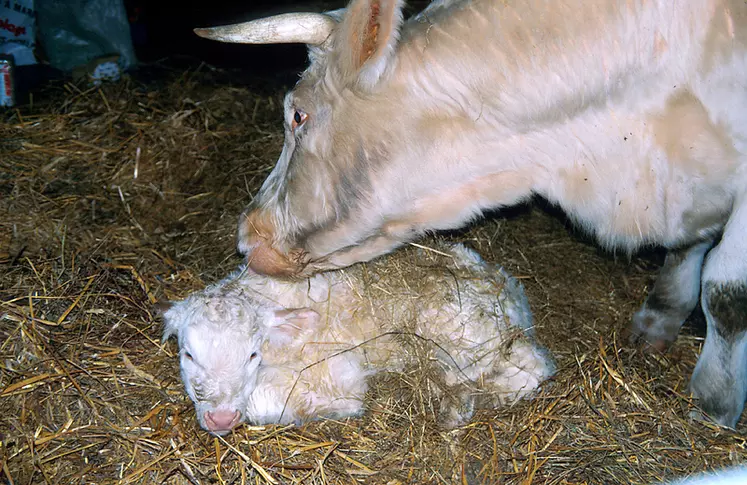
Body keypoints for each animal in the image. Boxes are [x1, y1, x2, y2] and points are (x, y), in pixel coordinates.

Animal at [196, 0, 747, 428]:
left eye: (297, 114)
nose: (247, 236)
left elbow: (726, 293)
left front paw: (713, 404)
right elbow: (688, 247)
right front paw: (659, 319)